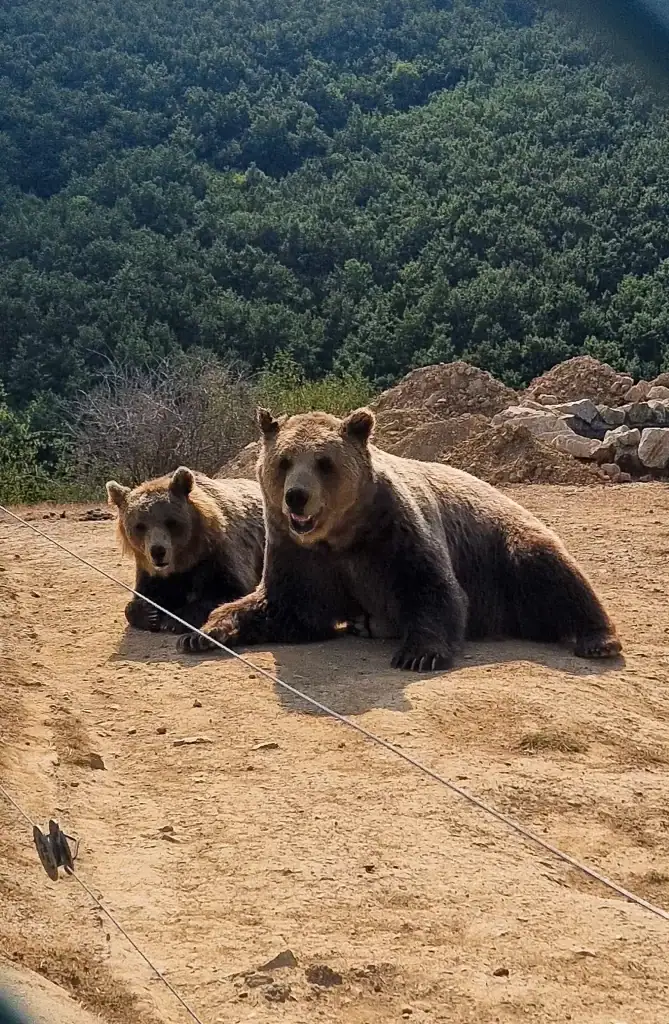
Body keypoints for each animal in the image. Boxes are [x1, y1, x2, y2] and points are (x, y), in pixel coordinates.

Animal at [106, 466, 265, 634]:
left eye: (171, 522)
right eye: (140, 526)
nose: (158, 552)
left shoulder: (219, 553)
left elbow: (228, 589)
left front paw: (174, 620)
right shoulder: (149, 568)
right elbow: (143, 594)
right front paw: (149, 613)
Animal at [176, 408, 622, 670]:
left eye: (324, 462)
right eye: (284, 461)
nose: (296, 496)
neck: (341, 534)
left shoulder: (394, 533)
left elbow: (432, 588)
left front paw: (418, 654)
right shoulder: (300, 553)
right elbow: (287, 607)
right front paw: (200, 633)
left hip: (503, 551)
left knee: (550, 572)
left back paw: (597, 639)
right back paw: (367, 623)